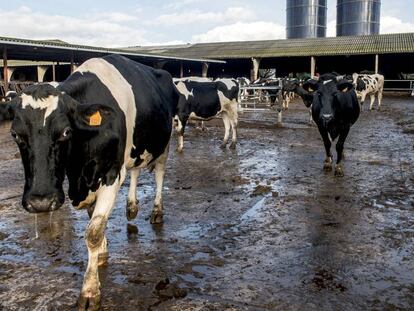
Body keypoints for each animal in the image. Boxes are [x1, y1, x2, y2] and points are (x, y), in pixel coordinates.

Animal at [1, 54, 180, 310]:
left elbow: (93, 231)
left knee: (159, 174)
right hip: (136, 146)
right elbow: (93, 219)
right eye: (16, 134)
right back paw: (131, 206)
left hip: (165, 142)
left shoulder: (111, 174)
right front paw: (102, 252)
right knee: (136, 170)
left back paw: (156, 211)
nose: (41, 201)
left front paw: (90, 290)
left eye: (66, 132)